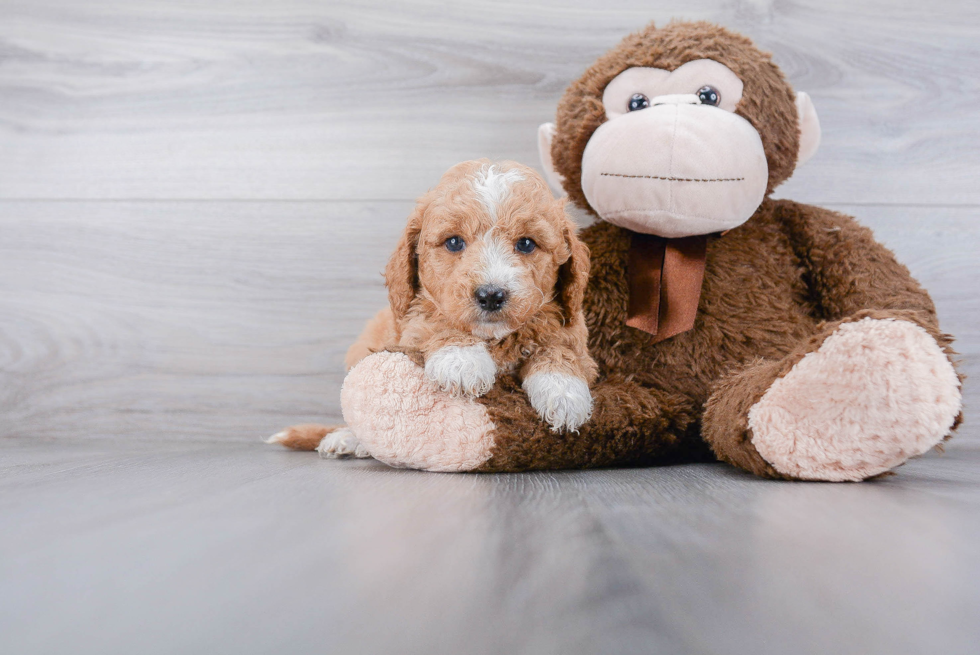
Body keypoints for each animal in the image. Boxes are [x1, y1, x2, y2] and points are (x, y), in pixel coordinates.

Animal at [268, 158, 596, 456]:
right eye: (453, 242)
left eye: (526, 244)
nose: (491, 295)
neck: (493, 338)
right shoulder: (412, 319)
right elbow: (436, 318)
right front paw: (462, 360)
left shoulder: (570, 326)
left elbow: (558, 349)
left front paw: (564, 394)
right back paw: (347, 439)